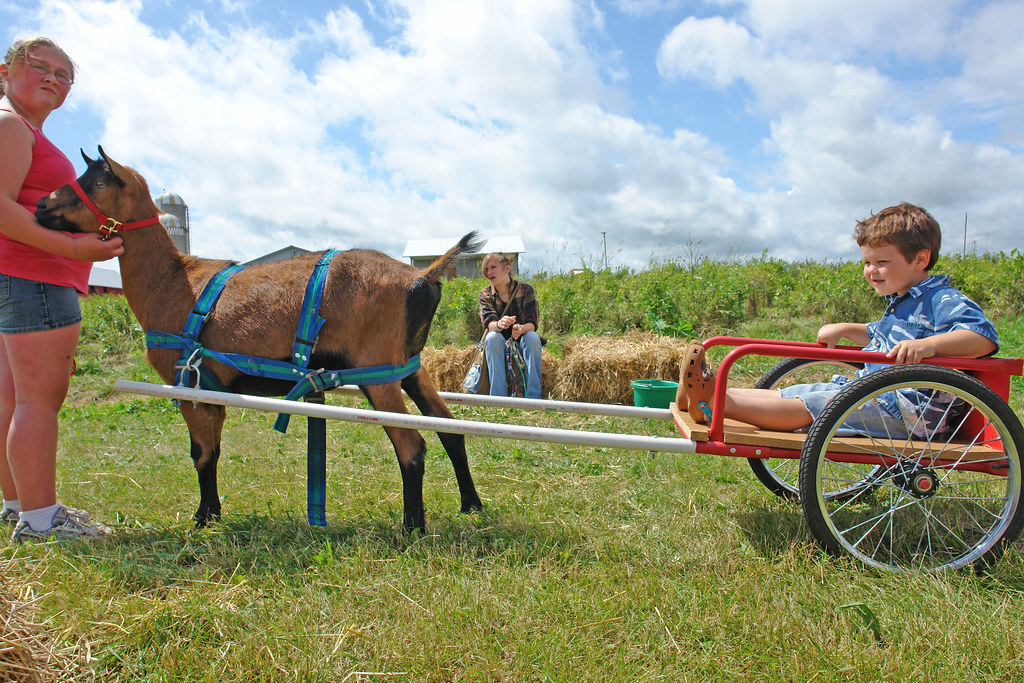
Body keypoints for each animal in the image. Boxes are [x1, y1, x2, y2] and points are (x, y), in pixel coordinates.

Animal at [36, 148, 483, 532]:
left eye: (98, 181)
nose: (41, 207)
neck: (173, 280)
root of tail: (423, 275)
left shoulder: (186, 383)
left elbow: (200, 453)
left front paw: (201, 518)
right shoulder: (211, 387)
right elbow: (212, 451)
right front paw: (212, 513)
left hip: (378, 373)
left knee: (411, 446)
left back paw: (413, 527)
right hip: (408, 367)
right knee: (449, 430)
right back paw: (471, 505)